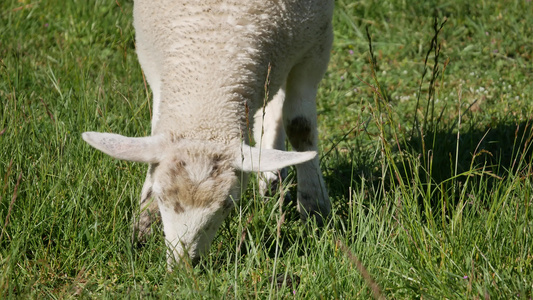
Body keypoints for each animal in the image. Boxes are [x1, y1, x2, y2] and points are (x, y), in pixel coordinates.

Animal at [82, 0, 332, 268]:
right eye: (160, 197)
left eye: (227, 205)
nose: (182, 267)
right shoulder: (155, 70)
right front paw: (143, 225)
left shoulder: (316, 48)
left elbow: (300, 127)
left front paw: (314, 208)